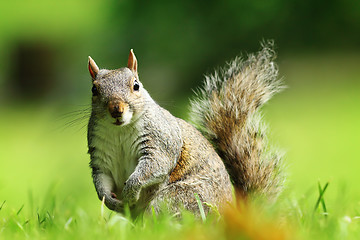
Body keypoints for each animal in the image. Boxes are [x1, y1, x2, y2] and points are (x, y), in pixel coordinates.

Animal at [86, 42, 284, 218]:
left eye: (136, 85)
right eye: (94, 89)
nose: (116, 109)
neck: (120, 130)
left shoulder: (161, 140)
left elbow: (155, 164)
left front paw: (130, 191)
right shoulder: (100, 155)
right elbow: (101, 179)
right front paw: (109, 200)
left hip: (179, 199)